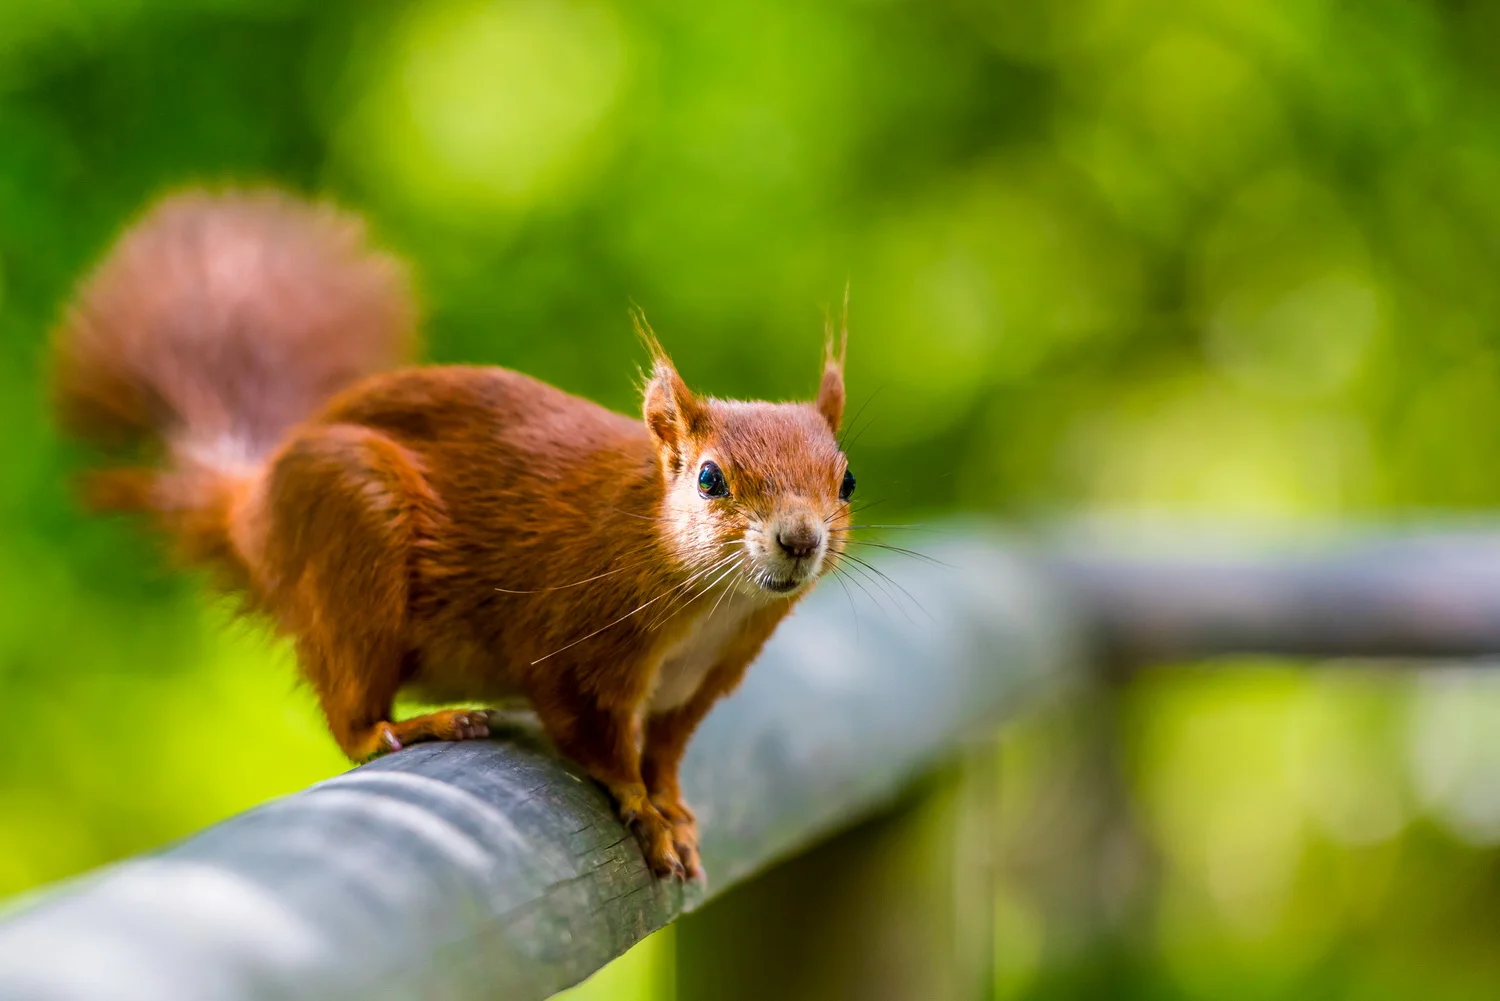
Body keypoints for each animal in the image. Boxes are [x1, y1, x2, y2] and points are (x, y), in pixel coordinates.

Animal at [50, 187, 854, 881]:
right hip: (353, 524)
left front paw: (674, 808)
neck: (716, 609)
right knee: (351, 716)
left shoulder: (703, 681)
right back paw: (416, 724)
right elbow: (595, 737)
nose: (798, 540)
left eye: (846, 480)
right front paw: (644, 812)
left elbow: (665, 753)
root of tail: (252, 509)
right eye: (711, 478)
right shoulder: (576, 634)